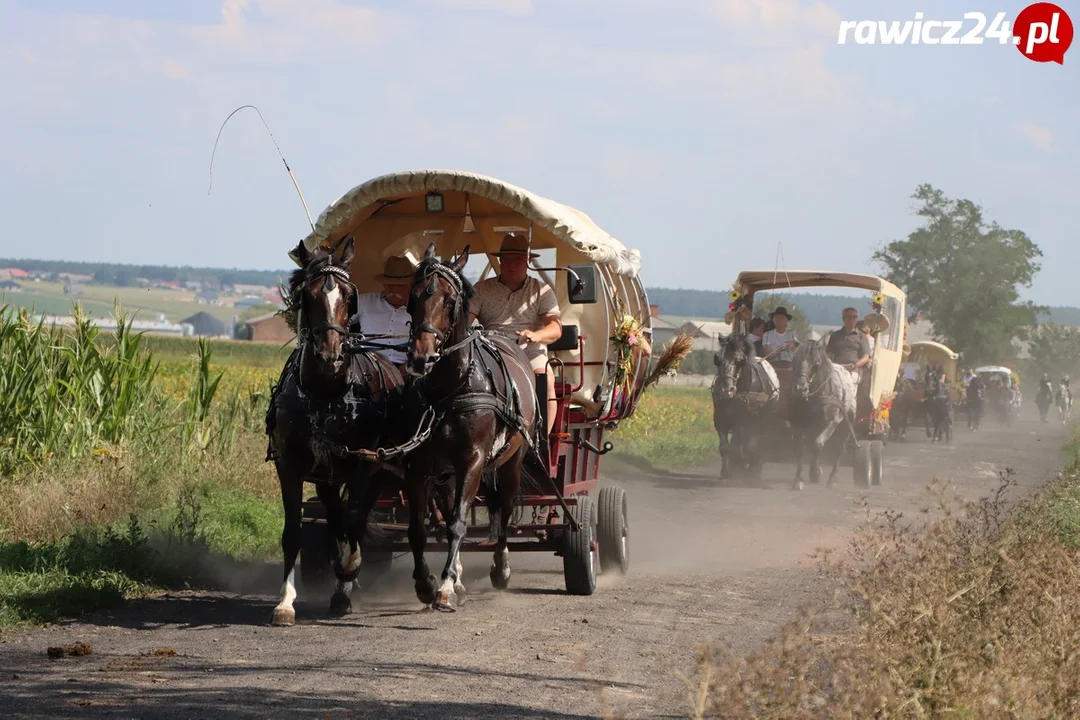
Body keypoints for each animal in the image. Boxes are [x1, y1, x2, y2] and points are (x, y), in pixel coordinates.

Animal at [267, 239, 406, 626]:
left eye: (348, 295)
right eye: (307, 295)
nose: (330, 354)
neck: (326, 394)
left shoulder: (364, 464)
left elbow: (355, 522)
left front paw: (347, 574)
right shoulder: (289, 466)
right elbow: (294, 532)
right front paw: (285, 602)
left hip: (379, 469)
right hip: (327, 475)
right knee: (334, 516)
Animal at [401, 243, 548, 613]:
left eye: (450, 301)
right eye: (413, 297)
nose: (421, 358)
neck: (450, 389)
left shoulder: (473, 460)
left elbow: (457, 524)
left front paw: (443, 589)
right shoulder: (419, 465)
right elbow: (417, 529)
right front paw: (427, 583)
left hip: (510, 463)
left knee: (504, 511)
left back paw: (500, 569)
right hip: (448, 473)